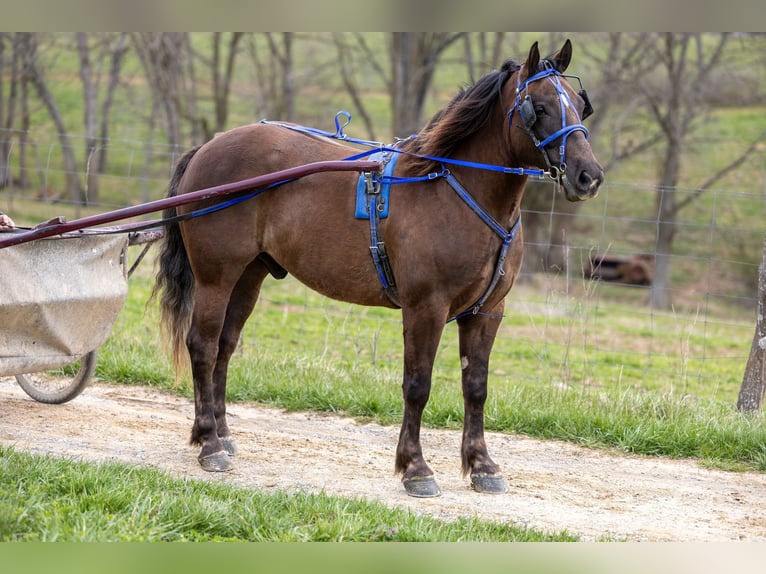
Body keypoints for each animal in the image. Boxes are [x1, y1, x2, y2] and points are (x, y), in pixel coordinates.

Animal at [153, 39, 604, 500]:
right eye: (540, 107)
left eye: (579, 106)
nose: (589, 176)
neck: (452, 190)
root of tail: (208, 146)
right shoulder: (426, 307)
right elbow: (418, 385)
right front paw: (416, 467)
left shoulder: (487, 311)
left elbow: (476, 387)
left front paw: (481, 464)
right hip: (216, 275)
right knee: (203, 346)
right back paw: (209, 443)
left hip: (248, 276)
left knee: (225, 347)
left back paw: (221, 433)